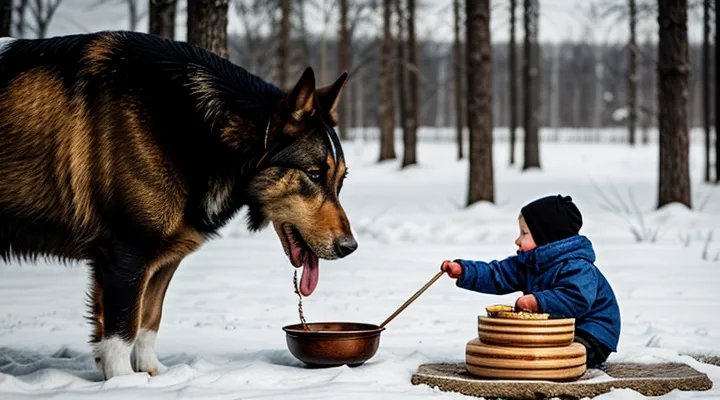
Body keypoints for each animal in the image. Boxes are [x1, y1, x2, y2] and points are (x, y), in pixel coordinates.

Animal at [0, 30, 358, 378]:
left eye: (341, 180)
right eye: (314, 174)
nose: (349, 247)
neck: (195, 131)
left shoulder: (161, 261)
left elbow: (148, 323)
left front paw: (153, 375)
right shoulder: (126, 257)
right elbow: (120, 339)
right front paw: (124, 385)